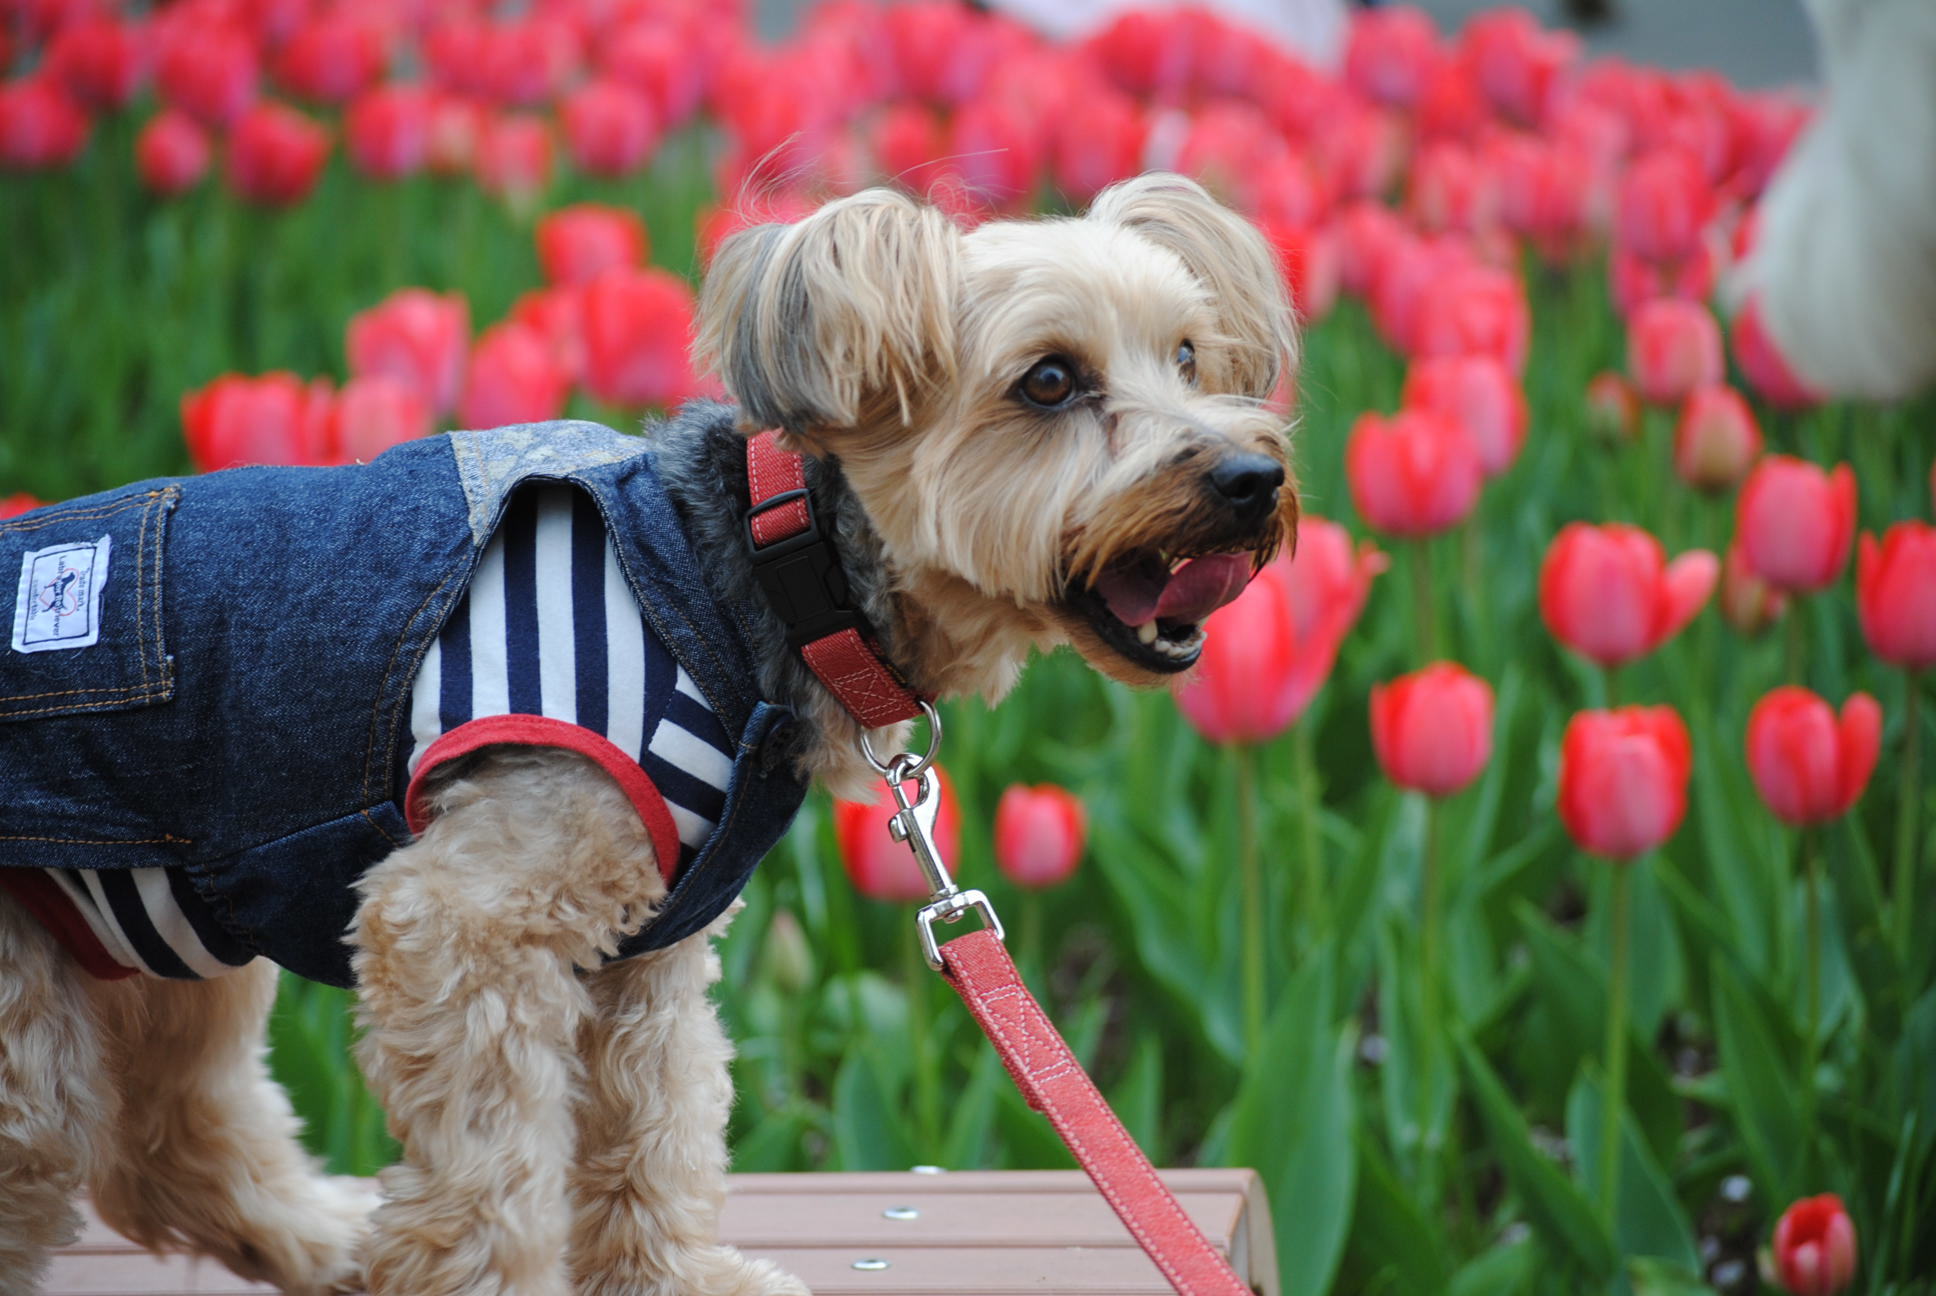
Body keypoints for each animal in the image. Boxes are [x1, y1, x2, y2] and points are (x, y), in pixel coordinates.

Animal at [0, 174, 1300, 1294]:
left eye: (1190, 356)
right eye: (1048, 382)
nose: (1252, 475)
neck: (767, 577)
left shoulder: (651, 956)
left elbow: (657, 1135)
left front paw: (672, 1280)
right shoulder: (463, 928)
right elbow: (494, 1183)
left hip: (170, 951)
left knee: (171, 1141)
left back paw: (332, 1244)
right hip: (40, 1020)